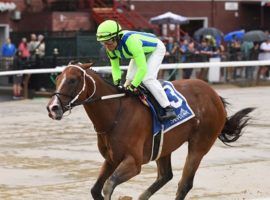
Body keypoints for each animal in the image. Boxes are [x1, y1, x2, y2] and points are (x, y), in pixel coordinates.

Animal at [45, 63, 254, 200]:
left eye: (72, 80)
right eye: (57, 79)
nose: (52, 108)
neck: (115, 112)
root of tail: (214, 94)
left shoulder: (133, 162)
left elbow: (108, 185)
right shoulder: (111, 159)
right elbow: (96, 190)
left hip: (199, 144)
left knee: (184, 184)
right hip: (164, 145)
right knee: (165, 176)